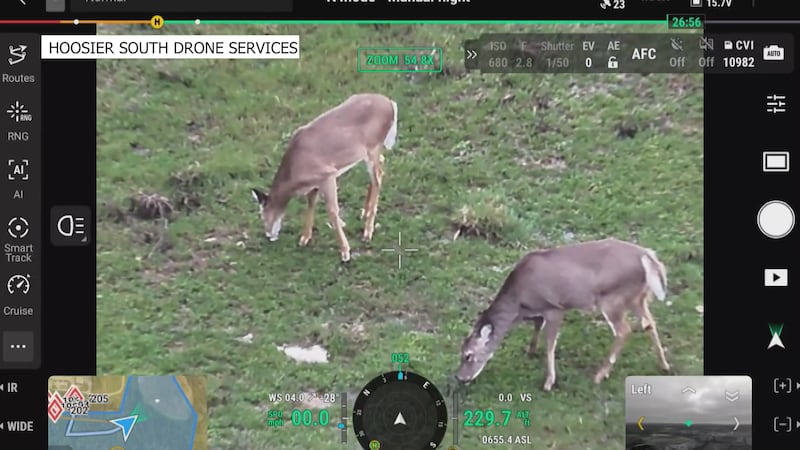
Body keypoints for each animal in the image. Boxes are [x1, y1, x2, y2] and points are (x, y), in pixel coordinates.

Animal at [250, 93, 398, 262]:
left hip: (373, 147)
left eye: (262, 215)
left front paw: (345, 252)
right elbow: (311, 203)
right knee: (380, 166)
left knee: (378, 176)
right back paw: (364, 212)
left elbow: (332, 211)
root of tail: (391, 104)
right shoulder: (315, 182)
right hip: (368, 153)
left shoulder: (327, 175)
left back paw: (367, 232)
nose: (269, 235)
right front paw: (304, 238)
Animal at [455, 238, 671, 391]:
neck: (519, 302)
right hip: (638, 297)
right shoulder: (540, 310)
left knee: (624, 331)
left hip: (612, 299)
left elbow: (550, 343)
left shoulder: (555, 308)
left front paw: (549, 382)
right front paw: (531, 351)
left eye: (468, 356)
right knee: (649, 323)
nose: (460, 378)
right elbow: (537, 326)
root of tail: (648, 257)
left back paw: (599, 375)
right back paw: (664, 365)